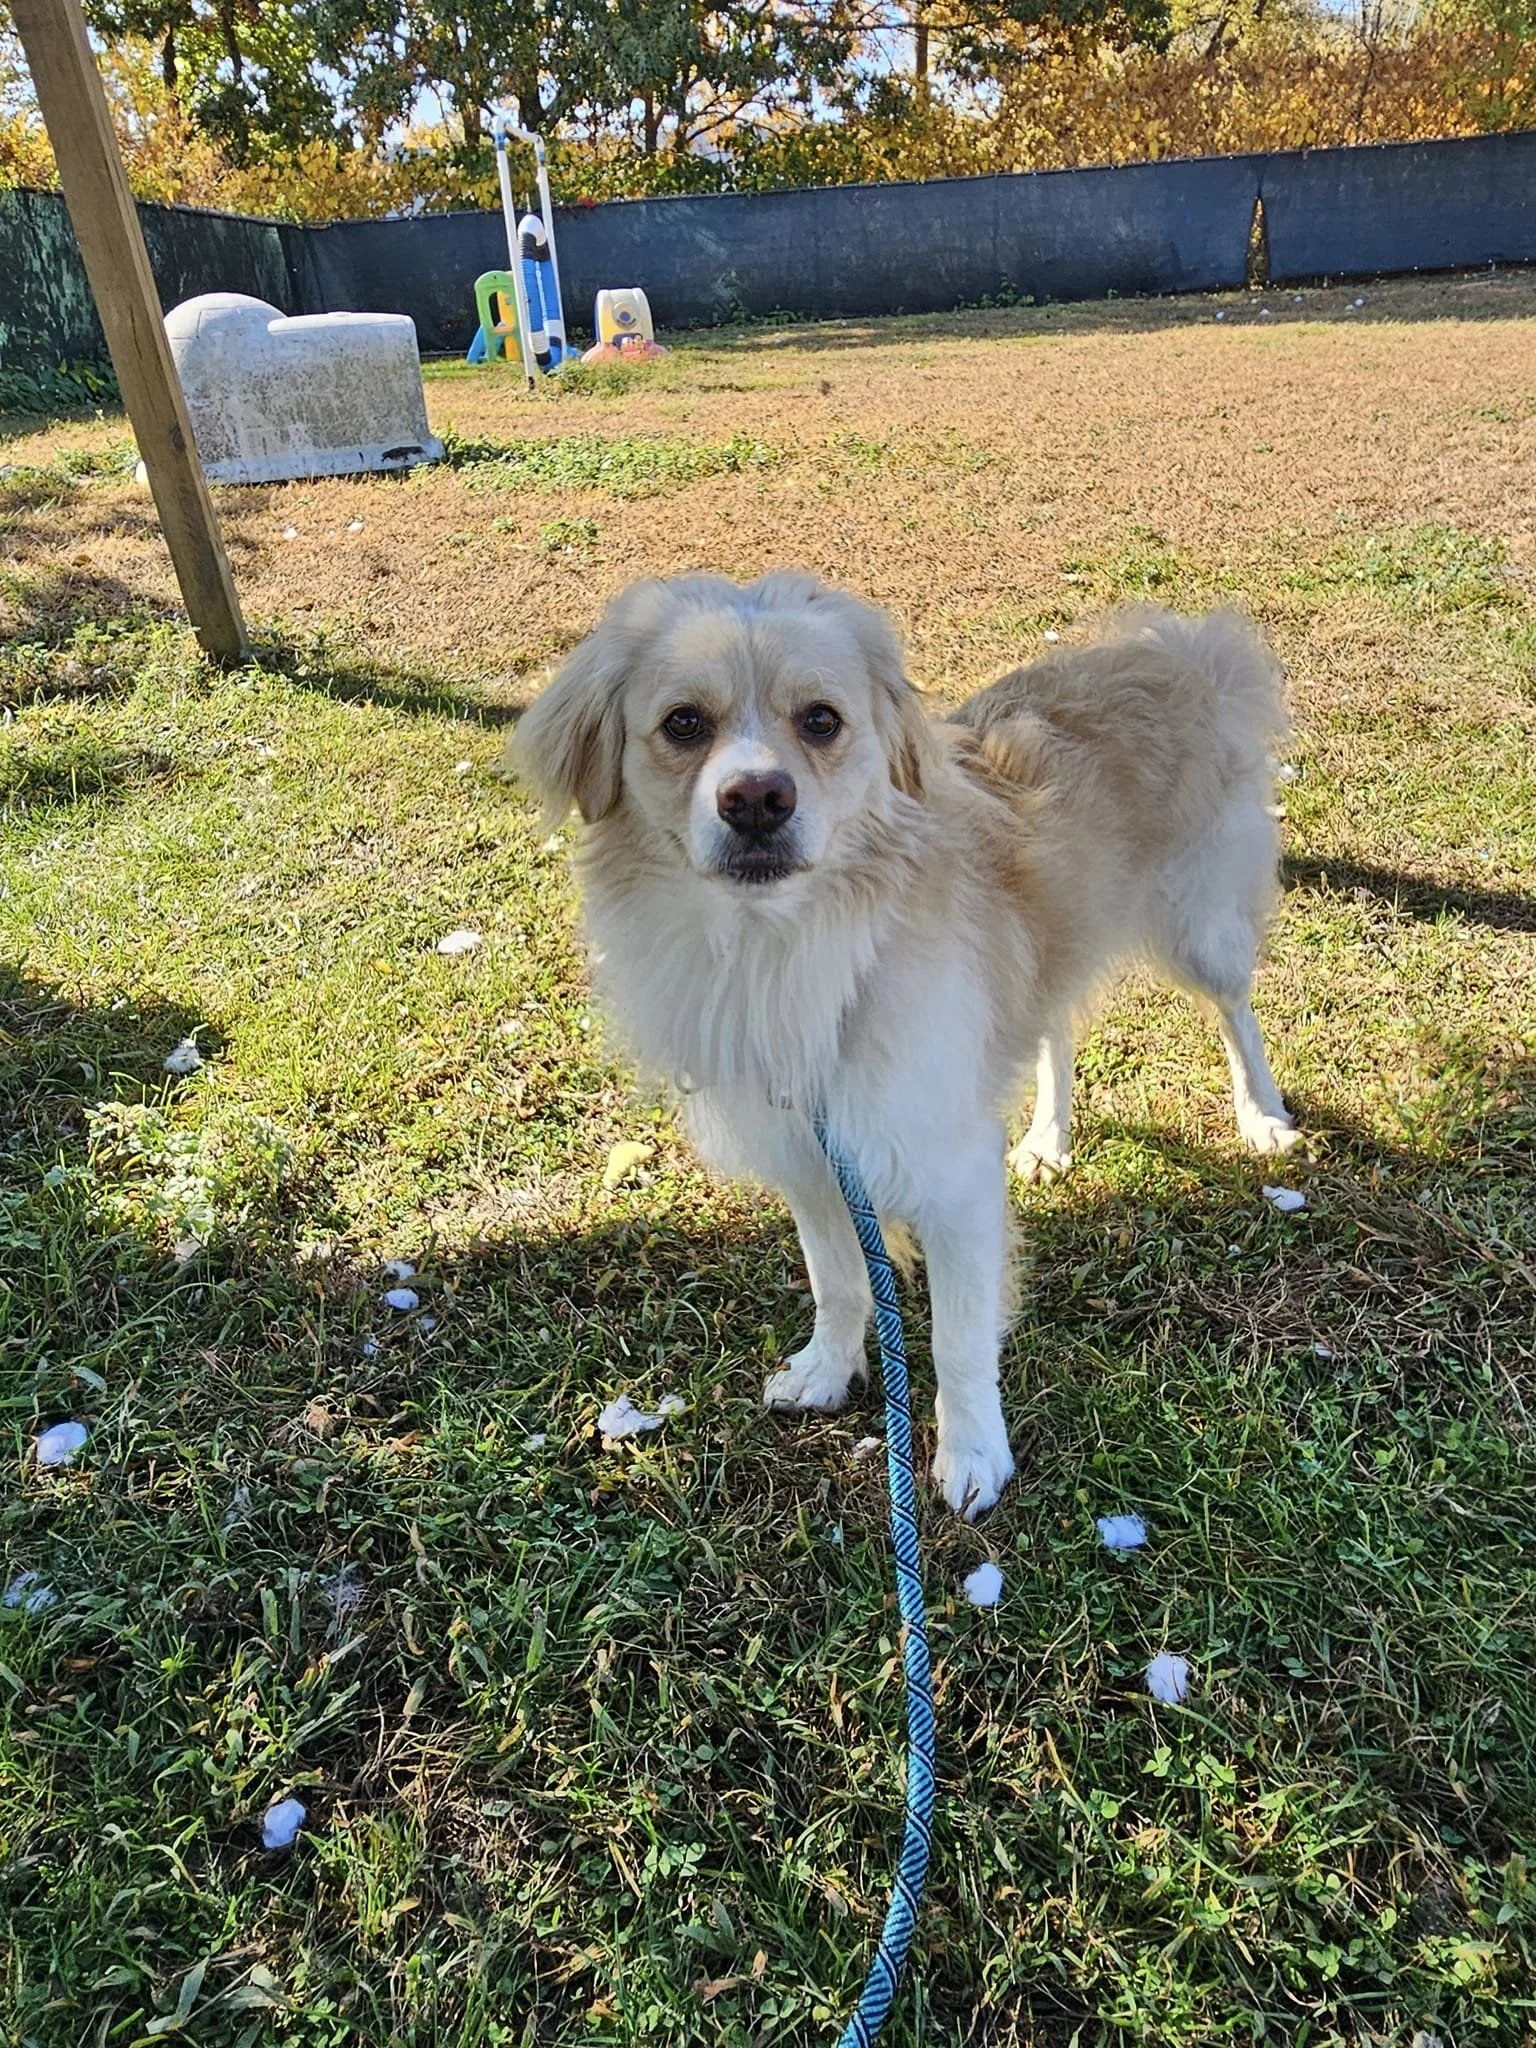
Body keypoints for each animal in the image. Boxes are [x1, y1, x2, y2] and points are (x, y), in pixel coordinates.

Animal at [515, 572, 1300, 1517]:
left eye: (821, 720)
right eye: (683, 724)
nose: (757, 799)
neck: (785, 947)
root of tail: (1178, 649)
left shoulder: (952, 1177)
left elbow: (959, 1338)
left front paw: (973, 1452)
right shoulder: (815, 1160)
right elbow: (839, 1281)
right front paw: (828, 1369)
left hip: (1201, 929)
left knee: (1237, 1012)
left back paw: (1261, 1116)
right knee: (1056, 1028)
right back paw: (1048, 1139)